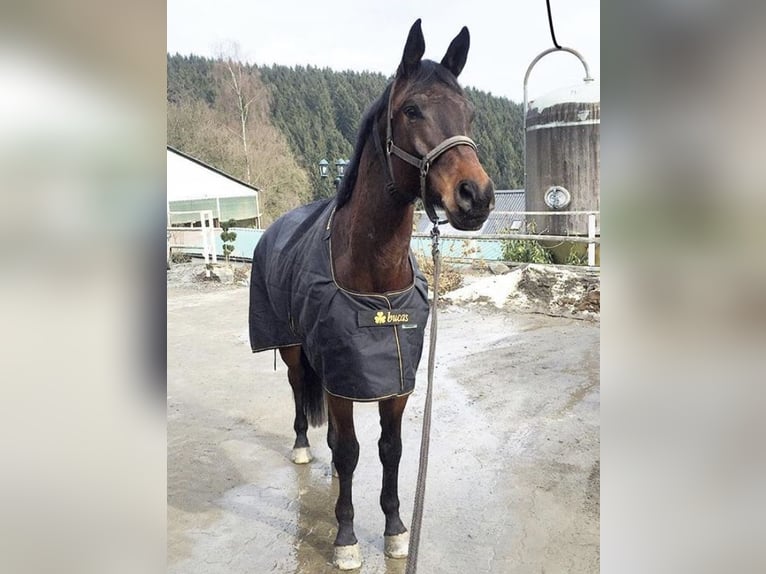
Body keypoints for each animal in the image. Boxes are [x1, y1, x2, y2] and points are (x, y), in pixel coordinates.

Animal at [249, 19, 496, 572]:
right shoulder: (343, 380)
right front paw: (345, 537)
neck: (376, 283)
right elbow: (349, 450)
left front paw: (396, 530)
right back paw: (302, 447)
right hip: (292, 348)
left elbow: (390, 450)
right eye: (412, 110)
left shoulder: (395, 381)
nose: (476, 196)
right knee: (299, 393)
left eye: (469, 112)